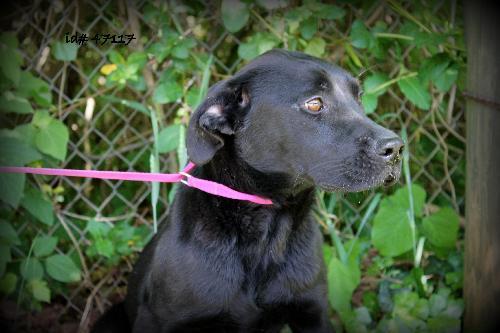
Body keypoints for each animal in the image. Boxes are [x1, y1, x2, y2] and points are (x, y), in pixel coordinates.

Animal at [93, 49, 402, 332]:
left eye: (358, 97)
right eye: (314, 103)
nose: (397, 148)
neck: (268, 232)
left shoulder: (312, 313)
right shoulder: (160, 319)